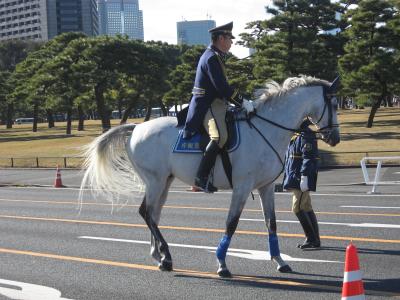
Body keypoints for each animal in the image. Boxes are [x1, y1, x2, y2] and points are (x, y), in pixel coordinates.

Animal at [80, 76, 340, 278]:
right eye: (335, 103)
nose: (335, 138)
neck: (266, 129)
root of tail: (136, 128)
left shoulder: (266, 187)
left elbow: (271, 223)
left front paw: (280, 261)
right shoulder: (242, 187)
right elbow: (231, 223)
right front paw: (222, 264)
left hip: (164, 181)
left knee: (154, 213)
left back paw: (159, 256)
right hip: (155, 181)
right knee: (146, 212)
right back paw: (166, 256)